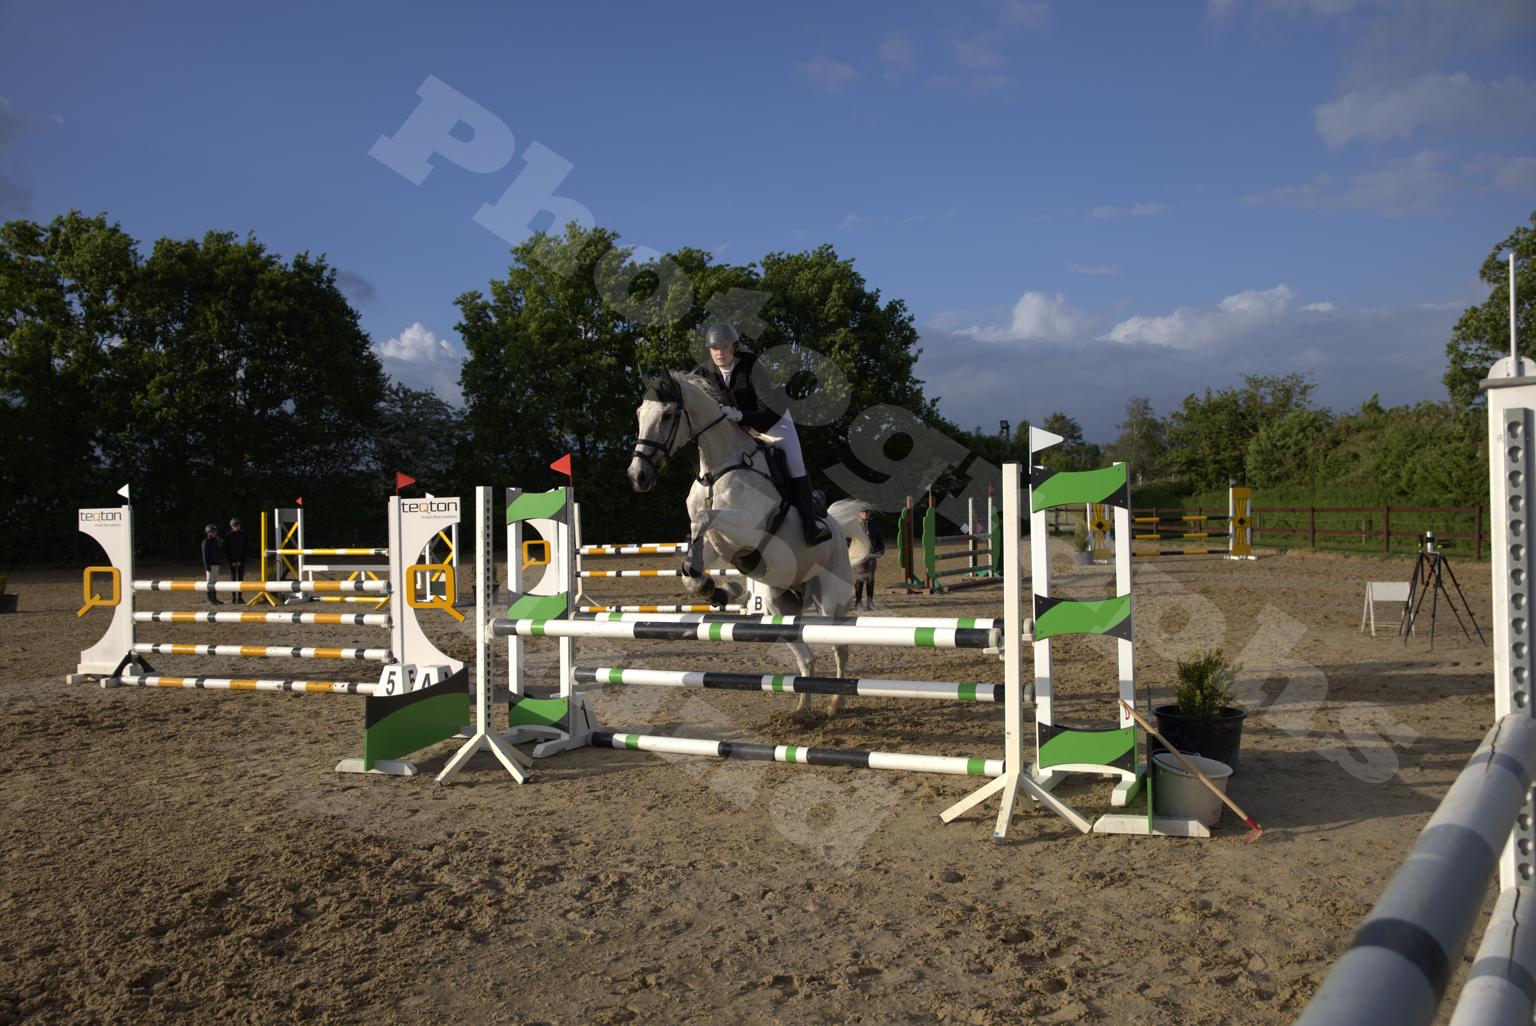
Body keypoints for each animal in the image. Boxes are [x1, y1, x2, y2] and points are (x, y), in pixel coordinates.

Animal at [627, 371, 869, 715]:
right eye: (639, 414)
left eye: (668, 415)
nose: (638, 476)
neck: (715, 471)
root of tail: (835, 525)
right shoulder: (717, 542)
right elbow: (695, 547)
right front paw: (713, 588)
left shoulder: (747, 528)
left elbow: (703, 519)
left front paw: (718, 587)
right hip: (778, 605)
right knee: (807, 657)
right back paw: (803, 709)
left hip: (831, 600)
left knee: (840, 647)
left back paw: (835, 703)